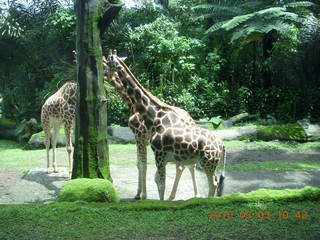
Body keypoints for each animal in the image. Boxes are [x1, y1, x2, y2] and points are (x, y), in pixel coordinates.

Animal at [104, 50, 226, 201]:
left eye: (107, 63)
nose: (105, 73)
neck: (155, 116)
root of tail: (222, 145)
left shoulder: (157, 152)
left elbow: (159, 181)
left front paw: (144, 197)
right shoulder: (158, 153)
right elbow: (156, 179)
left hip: (207, 162)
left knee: (212, 183)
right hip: (204, 162)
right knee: (208, 179)